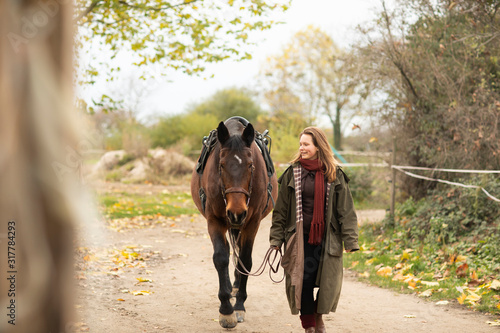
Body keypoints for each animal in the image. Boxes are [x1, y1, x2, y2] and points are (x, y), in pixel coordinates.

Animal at [190, 116, 280, 326]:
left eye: (250, 165)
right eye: (221, 165)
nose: (236, 212)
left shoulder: (252, 223)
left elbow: (245, 260)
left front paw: (239, 306)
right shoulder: (214, 220)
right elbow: (221, 258)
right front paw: (226, 310)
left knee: (239, 253)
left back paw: (237, 286)